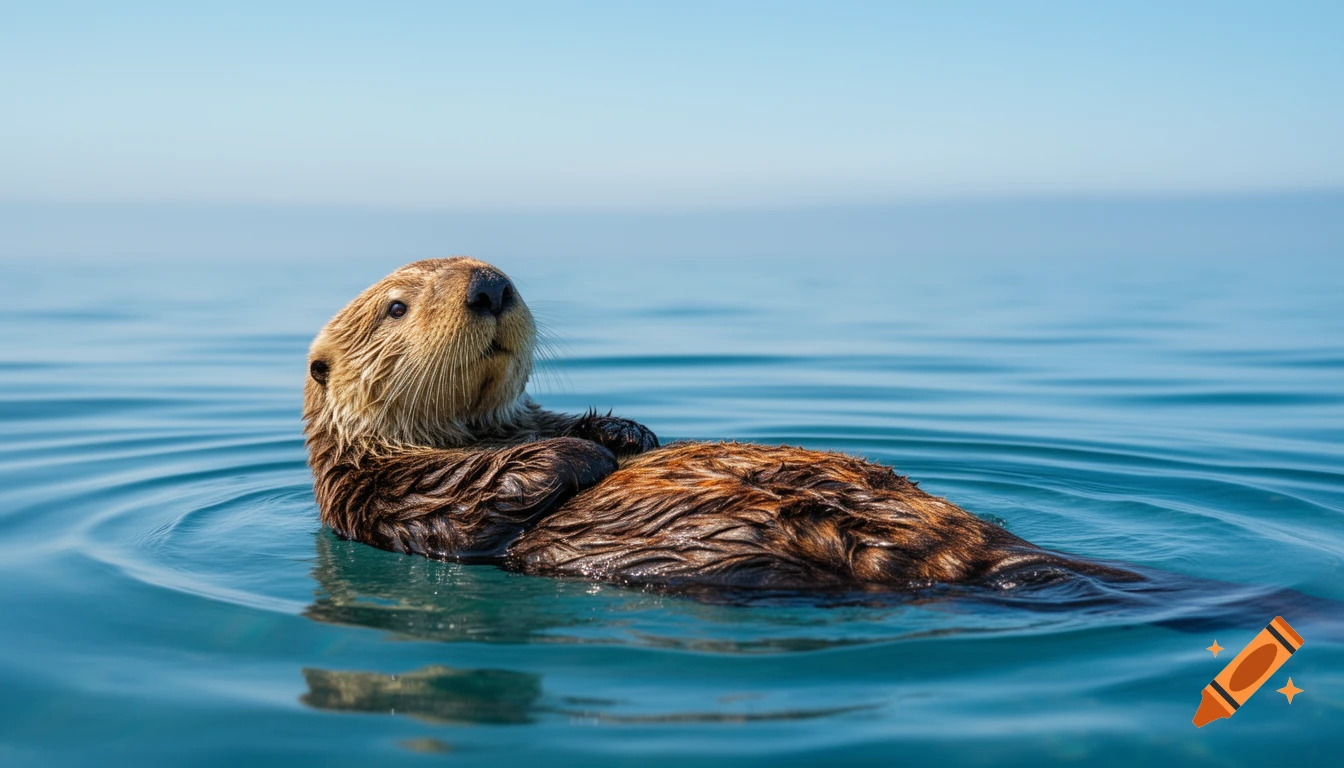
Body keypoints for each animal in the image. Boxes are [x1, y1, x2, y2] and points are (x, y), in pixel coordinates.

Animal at [304, 257, 1137, 590]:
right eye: (396, 306)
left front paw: (625, 436)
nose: (490, 284)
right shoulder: (395, 501)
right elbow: (486, 496)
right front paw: (581, 455)